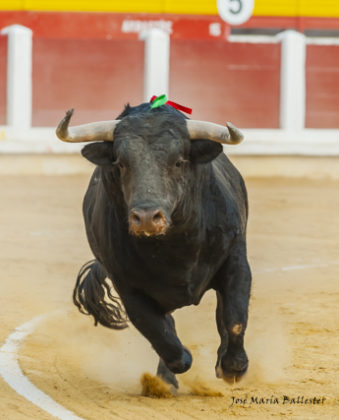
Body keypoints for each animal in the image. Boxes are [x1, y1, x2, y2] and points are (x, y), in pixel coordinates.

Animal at [56, 102, 252, 390]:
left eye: (179, 161)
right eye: (121, 163)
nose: (147, 217)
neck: (175, 245)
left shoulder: (236, 261)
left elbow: (234, 318)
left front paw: (232, 368)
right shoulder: (127, 286)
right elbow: (160, 334)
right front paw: (170, 373)